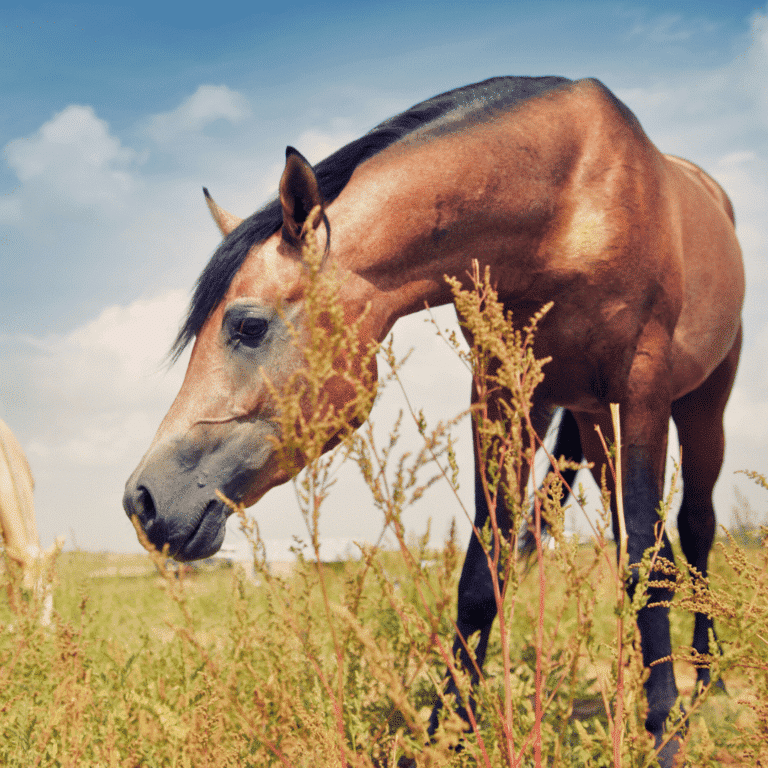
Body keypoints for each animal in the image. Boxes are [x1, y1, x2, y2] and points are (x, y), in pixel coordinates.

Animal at [124, 75, 744, 764]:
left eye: (248, 326)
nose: (143, 501)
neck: (568, 203)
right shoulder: (501, 390)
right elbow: (487, 567)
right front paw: (449, 729)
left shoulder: (643, 387)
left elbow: (647, 562)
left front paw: (662, 729)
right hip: (591, 417)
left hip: (700, 402)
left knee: (692, 526)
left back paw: (705, 676)